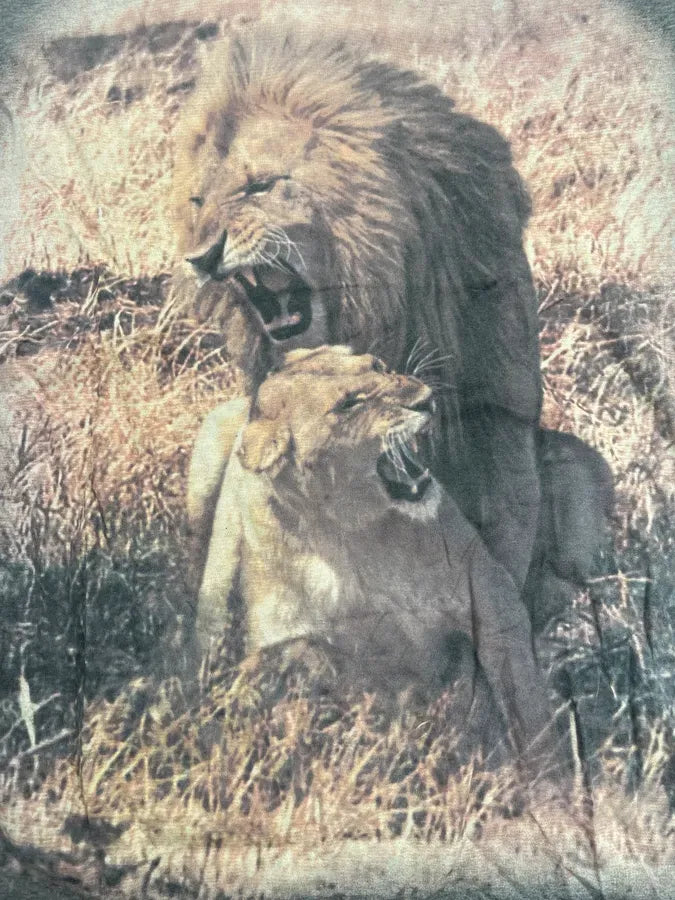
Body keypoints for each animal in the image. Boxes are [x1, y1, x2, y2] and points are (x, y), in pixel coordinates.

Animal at [188, 345, 557, 762]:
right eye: (349, 404)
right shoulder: (317, 650)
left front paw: (549, 775)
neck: (356, 534)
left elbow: (527, 709)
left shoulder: (491, 595)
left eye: (378, 366)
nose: (425, 400)